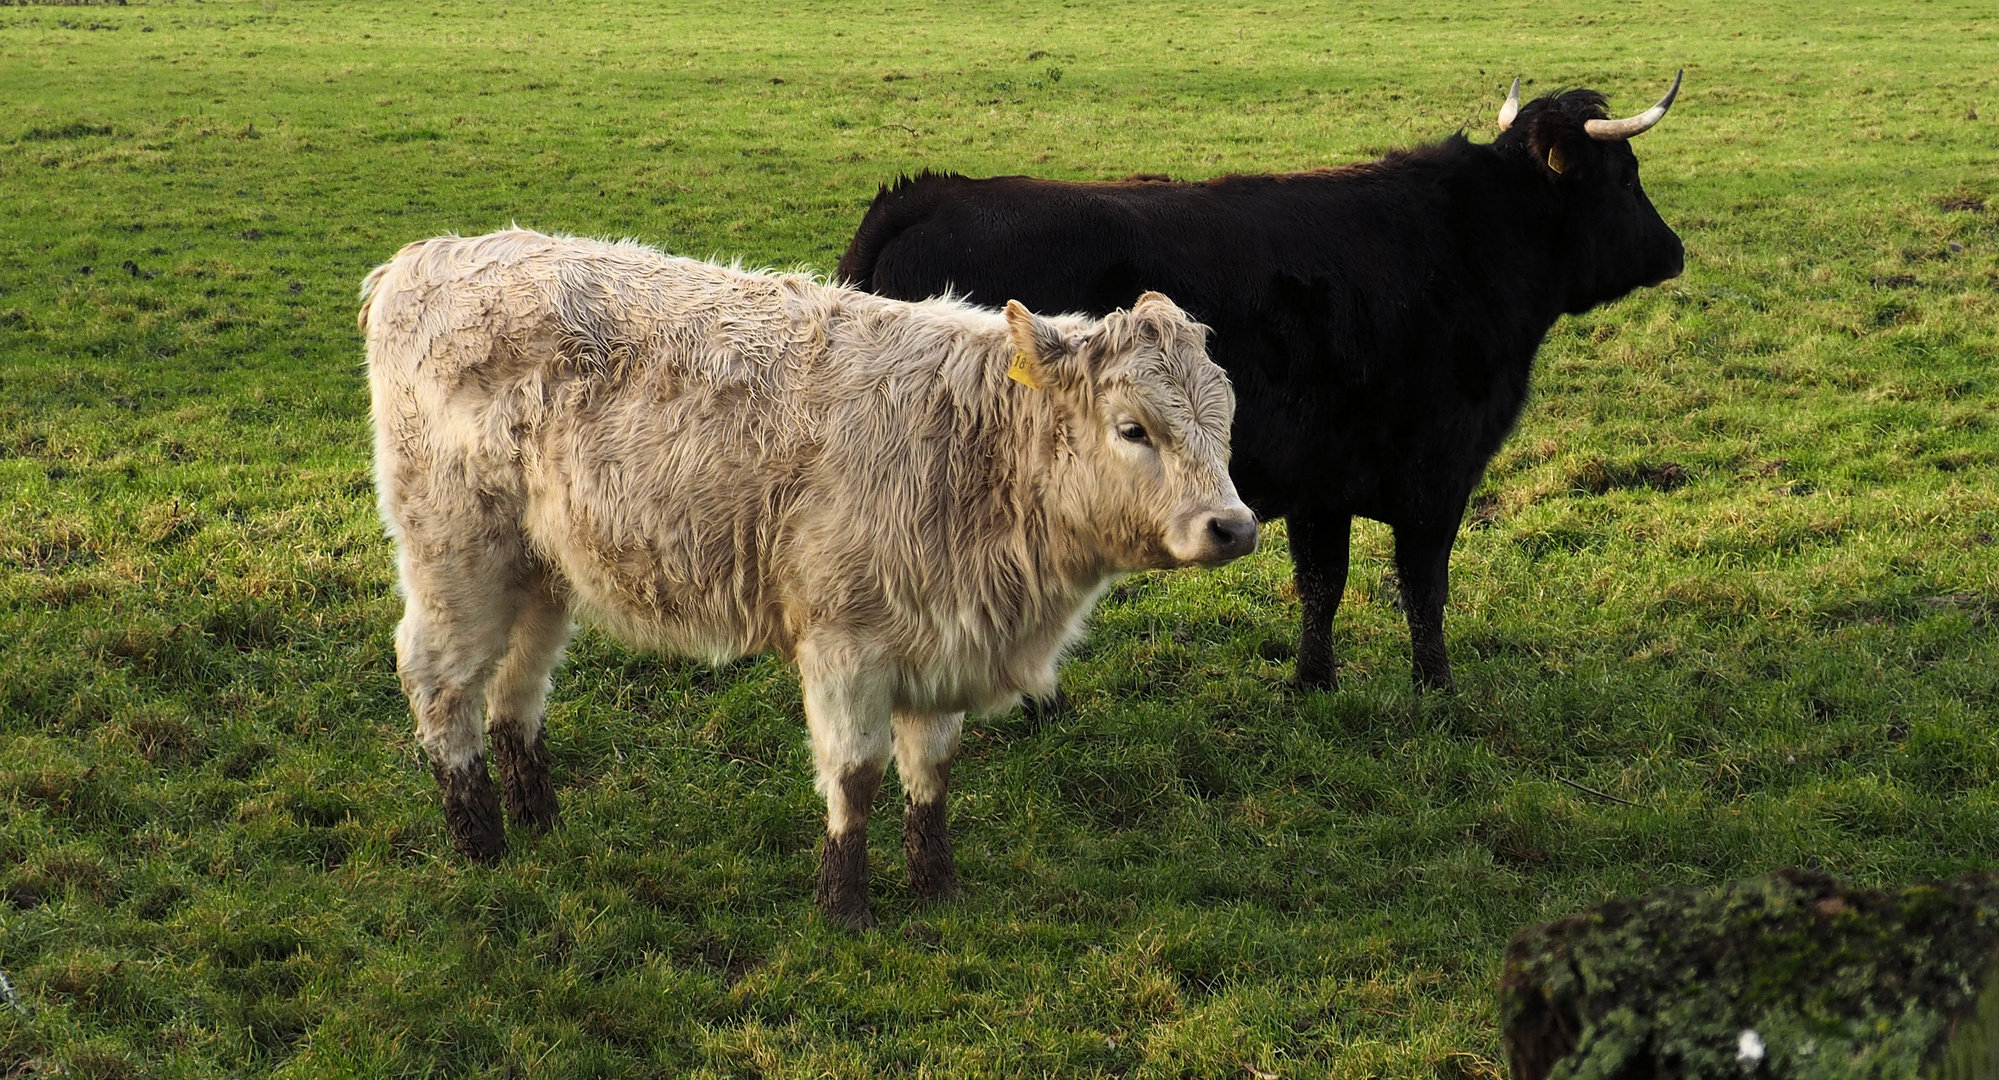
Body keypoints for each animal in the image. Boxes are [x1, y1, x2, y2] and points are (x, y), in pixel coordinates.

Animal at [359, 230, 1255, 928]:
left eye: (1226, 423)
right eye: (1133, 428)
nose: (1235, 527)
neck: (972, 455)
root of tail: (428, 255)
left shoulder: (940, 643)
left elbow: (930, 773)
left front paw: (937, 888)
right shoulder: (845, 645)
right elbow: (855, 775)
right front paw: (844, 905)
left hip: (541, 568)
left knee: (517, 689)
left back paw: (539, 820)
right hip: (456, 551)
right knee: (441, 681)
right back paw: (478, 839)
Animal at [835, 80, 1679, 696]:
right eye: (1624, 177)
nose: (1672, 250)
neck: (1468, 241)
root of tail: (926, 195)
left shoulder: (1323, 485)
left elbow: (1322, 583)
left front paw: (1312, 684)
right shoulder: (1435, 476)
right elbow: (1422, 586)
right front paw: (1435, 690)